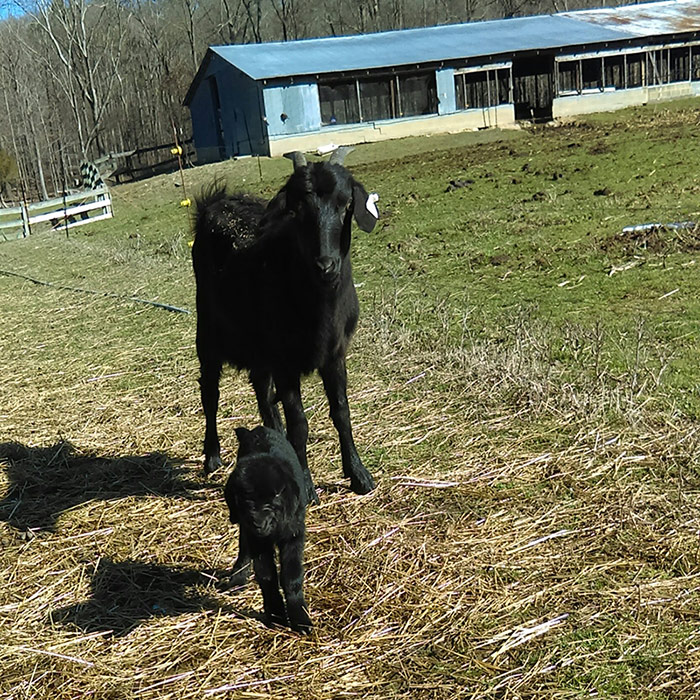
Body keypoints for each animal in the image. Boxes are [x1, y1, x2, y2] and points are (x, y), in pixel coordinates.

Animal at [190, 146, 378, 498]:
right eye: (297, 208)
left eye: (345, 204)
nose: (325, 265)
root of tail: (216, 202)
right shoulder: (284, 361)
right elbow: (299, 422)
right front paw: (306, 484)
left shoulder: (335, 354)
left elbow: (341, 412)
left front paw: (359, 475)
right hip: (208, 331)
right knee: (210, 393)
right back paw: (212, 456)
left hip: (258, 345)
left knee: (262, 392)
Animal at [224, 426, 312, 636]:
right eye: (245, 499)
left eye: (276, 495)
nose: (258, 522)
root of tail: (258, 429)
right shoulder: (257, 539)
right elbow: (266, 575)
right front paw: (276, 615)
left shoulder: (294, 533)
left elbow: (292, 576)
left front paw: (301, 619)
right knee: (244, 547)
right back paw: (238, 578)